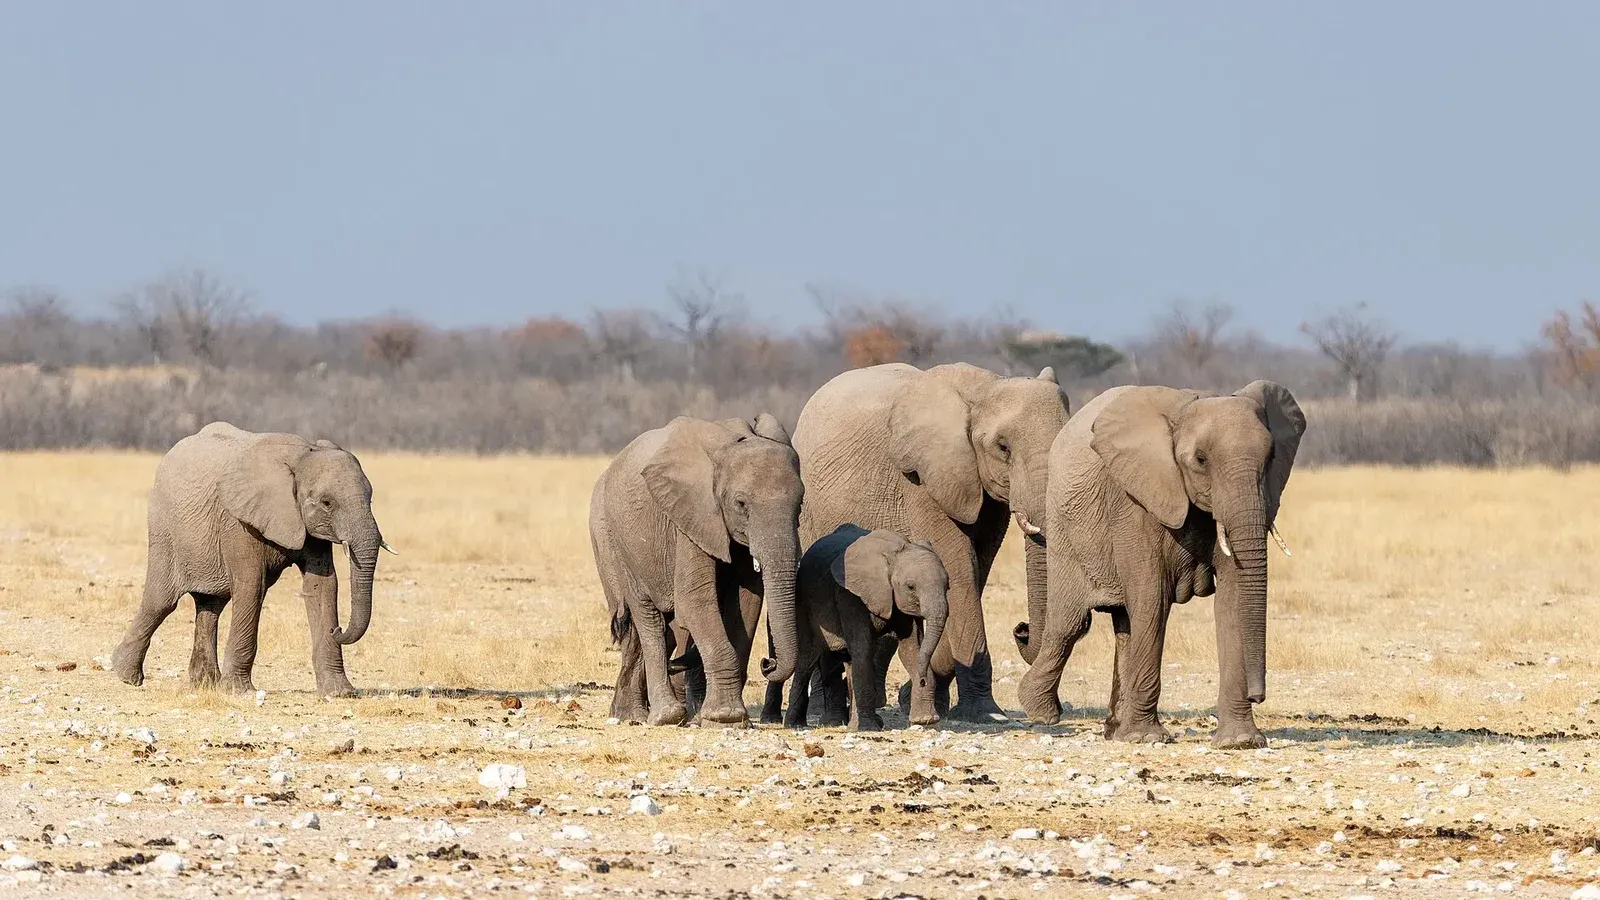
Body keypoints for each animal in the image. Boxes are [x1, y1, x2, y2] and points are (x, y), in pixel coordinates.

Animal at [110, 422, 392, 697]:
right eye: (327, 503)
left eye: (370, 499)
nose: (338, 630)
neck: (302, 454)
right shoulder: (238, 520)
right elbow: (252, 585)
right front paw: (239, 692)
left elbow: (323, 586)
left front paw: (340, 693)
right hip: (164, 528)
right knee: (161, 601)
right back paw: (125, 676)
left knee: (212, 604)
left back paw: (206, 685)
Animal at [592, 413, 803, 727]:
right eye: (741, 504)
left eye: (800, 504)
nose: (768, 662)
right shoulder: (692, 514)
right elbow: (693, 601)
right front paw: (724, 718)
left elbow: (748, 602)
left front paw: (718, 717)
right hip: (616, 542)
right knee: (648, 617)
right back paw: (663, 716)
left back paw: (633, 714)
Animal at [775, 524, 949, 731]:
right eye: (911, 586)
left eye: (947, 585)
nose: (922, 680)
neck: (895, 553)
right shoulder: (849, 595)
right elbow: (863, 649)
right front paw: (869, 728)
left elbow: (912, 650)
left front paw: (924, 719)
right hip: (804, 603)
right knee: (808, 657)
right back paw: (796, 724)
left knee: (847, 661)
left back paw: (852, 725)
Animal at [1015, 381, 1306, 749]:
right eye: (1200, 459)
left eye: (1270, 459)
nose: (1259, 696)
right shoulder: (1132, 498)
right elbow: (1152, 595)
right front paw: (1145, 738)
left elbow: (1233, 600)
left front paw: (1239, 741)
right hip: (1063, 529)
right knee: (1071, 623)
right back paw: (1041, 712)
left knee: (1124, 623)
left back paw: (1114, 730)